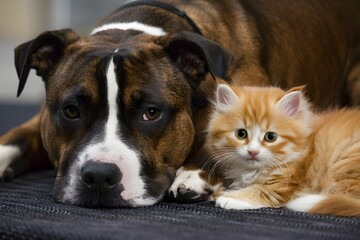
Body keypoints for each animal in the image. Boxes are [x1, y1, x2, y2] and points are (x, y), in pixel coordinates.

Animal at [207, 83, 360, 217]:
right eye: (241, 134)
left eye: (270, 137)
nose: (253, 152)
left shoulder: (283, 186)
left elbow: (258, 190)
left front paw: (229, 198)